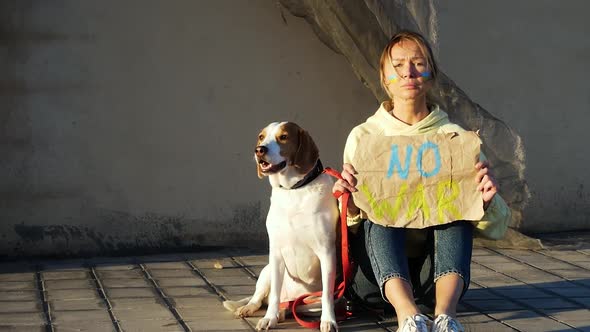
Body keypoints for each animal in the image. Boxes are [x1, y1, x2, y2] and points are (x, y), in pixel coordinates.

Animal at [224, 122, 340, 332]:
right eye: (261, 137)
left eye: (284, 137)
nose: (259, 150)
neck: (294, 190)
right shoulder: (276, 252)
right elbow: (275, 295)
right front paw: (269, 318)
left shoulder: (327, 253)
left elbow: (327, 295)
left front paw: (329, 321)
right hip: (267, 270)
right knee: (261, 298)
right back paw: (253, 308)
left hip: (311, 303)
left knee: (294, 305)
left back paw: (284, 311)